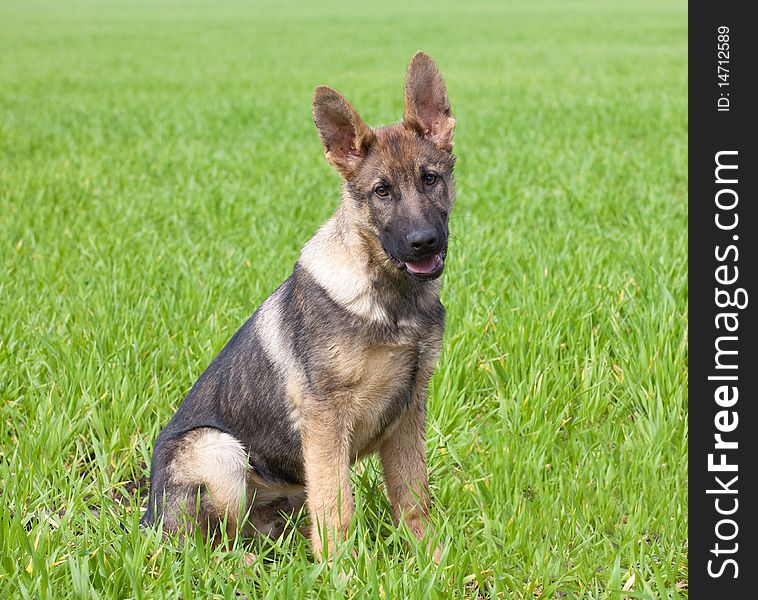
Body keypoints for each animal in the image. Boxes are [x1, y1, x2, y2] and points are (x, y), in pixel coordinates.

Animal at [144, 52, 458, 564]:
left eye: (430, 179)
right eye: (382, 192)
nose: (424, 243)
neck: (389, 298)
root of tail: (148, 521)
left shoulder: (409, 410)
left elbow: (413, 497)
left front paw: (432, 560)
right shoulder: (326, 418)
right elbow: (337, 506)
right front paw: (342, 571)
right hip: (218, 451)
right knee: (209, 546)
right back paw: (248, 567)